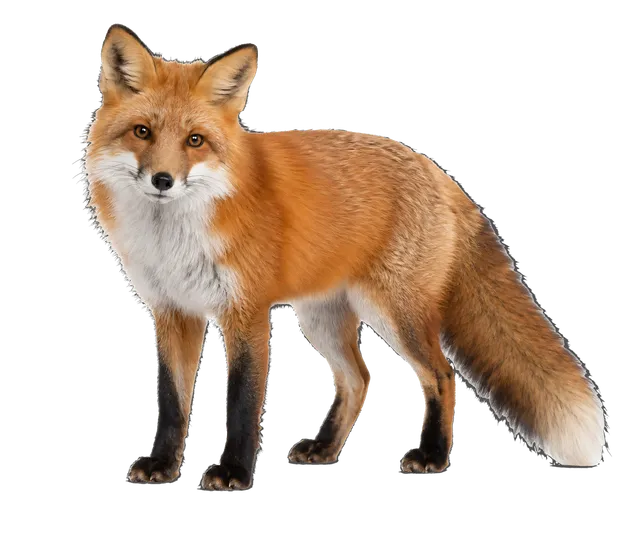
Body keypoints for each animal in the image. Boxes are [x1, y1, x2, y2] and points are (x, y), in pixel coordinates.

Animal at [84, 23, 607, 491]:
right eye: (142, 132)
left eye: (195, 140)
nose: (163, 180)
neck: (176, 235)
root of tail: (436, 170)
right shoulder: (173, 312)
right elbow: (173, 404)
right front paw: (162, 465)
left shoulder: (246, 313)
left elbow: (243, 403)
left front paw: (232, 473)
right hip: (321, 317)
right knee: (359, 380)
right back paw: (324, 449)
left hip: (397, 314)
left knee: (442, 378)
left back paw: (432, 458)